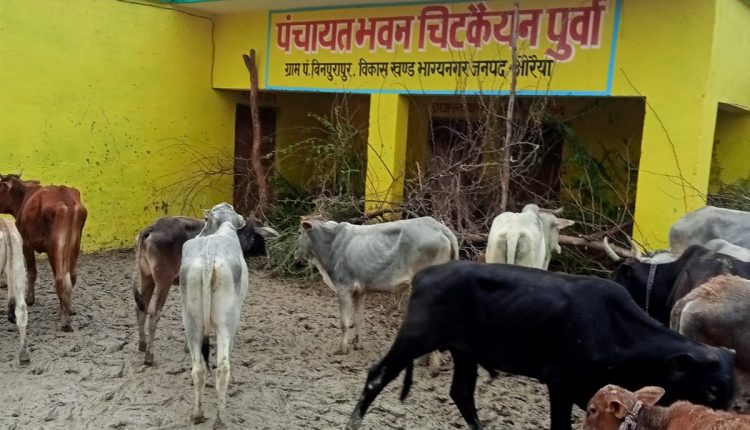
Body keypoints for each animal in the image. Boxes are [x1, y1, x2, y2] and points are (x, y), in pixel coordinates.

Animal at [0, 173, 87, 332]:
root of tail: (64, 192)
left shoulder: (26, 243)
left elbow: (31, 272)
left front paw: (29, 299)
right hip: (74, 244)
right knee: (71, 276)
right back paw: (68, 309)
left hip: (55, 246)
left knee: (60, 279)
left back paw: (65, 321)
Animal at [133, 214, 277, 365]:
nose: (266, 253)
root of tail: (154, 227)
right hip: (163, 281)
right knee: (154, 313)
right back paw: (149, 355)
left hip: (147, 277)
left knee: (141, 308)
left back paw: (142, 345)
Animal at [180, 203, 249, 427]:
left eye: (205, 220)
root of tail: (208, 258)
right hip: (227, 320)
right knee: (223, 367)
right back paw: (220, 418)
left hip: (191, 320)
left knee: (198, 369)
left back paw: (197, 414)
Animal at [294, 216, 458, 358]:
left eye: (299, 232)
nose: (295, 255)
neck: (331, 244)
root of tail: (439, 226)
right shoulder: (359, 291)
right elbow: (358, 319)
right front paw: (357, 344)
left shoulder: (344, 288)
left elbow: (344, 322)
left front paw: (342, 349)